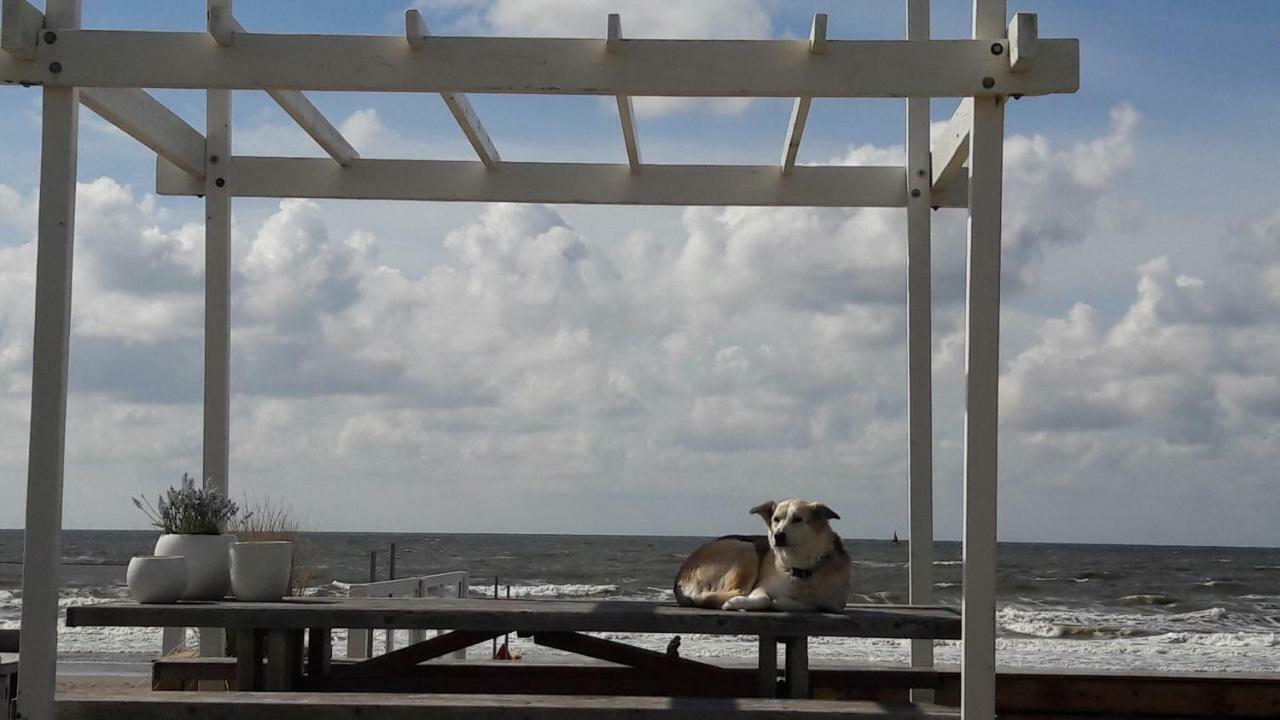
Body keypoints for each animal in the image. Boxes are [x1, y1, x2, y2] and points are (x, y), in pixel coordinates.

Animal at [670, 499, 849, 609]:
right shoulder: (759, 587)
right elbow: (765, 599)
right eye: (776, 519)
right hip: (746, 549)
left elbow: (810, 604)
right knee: (737, 591)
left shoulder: (834, 605)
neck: (799, 569)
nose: (778, 535)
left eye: (798, 519)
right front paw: (734, 603)